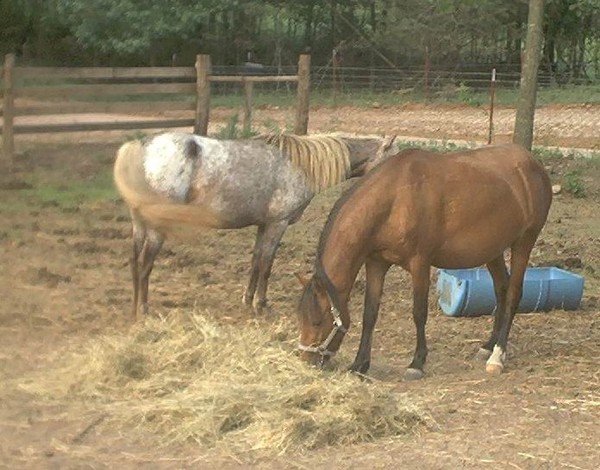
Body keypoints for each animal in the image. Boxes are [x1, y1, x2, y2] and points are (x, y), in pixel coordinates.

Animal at [298, 143, 552, 378]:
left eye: (318, 321)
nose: (306, 360)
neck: (394, 199)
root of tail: (532, 162)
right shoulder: (376, 264)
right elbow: (370, 313)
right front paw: (360, 364)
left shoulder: (419, 263)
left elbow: (419, 312)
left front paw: (416, 363)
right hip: (493, 250)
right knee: (501, 290)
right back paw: (488, 346)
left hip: (523, 242)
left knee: (513, 294)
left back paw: (497, 356)